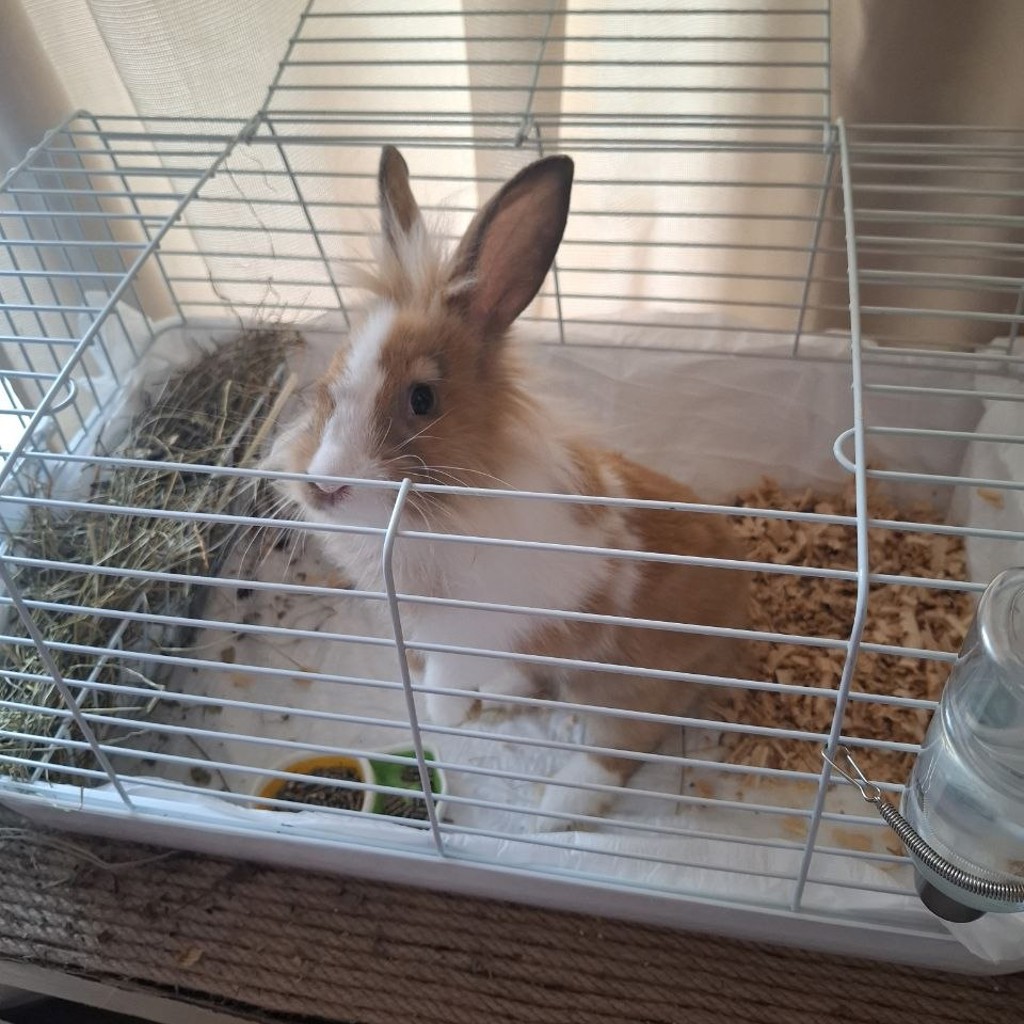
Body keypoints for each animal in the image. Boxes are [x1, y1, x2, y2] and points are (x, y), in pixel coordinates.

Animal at [268, 145, 750, 829]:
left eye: (422, 398)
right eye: (326, 385)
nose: (323, 487)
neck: (437, 513)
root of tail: (744, 610)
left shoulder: (479, 631)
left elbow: (447, 674)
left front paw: (445, 714)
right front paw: (458, 711)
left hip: (628, 685)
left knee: (618, 750)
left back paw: (554, 810)